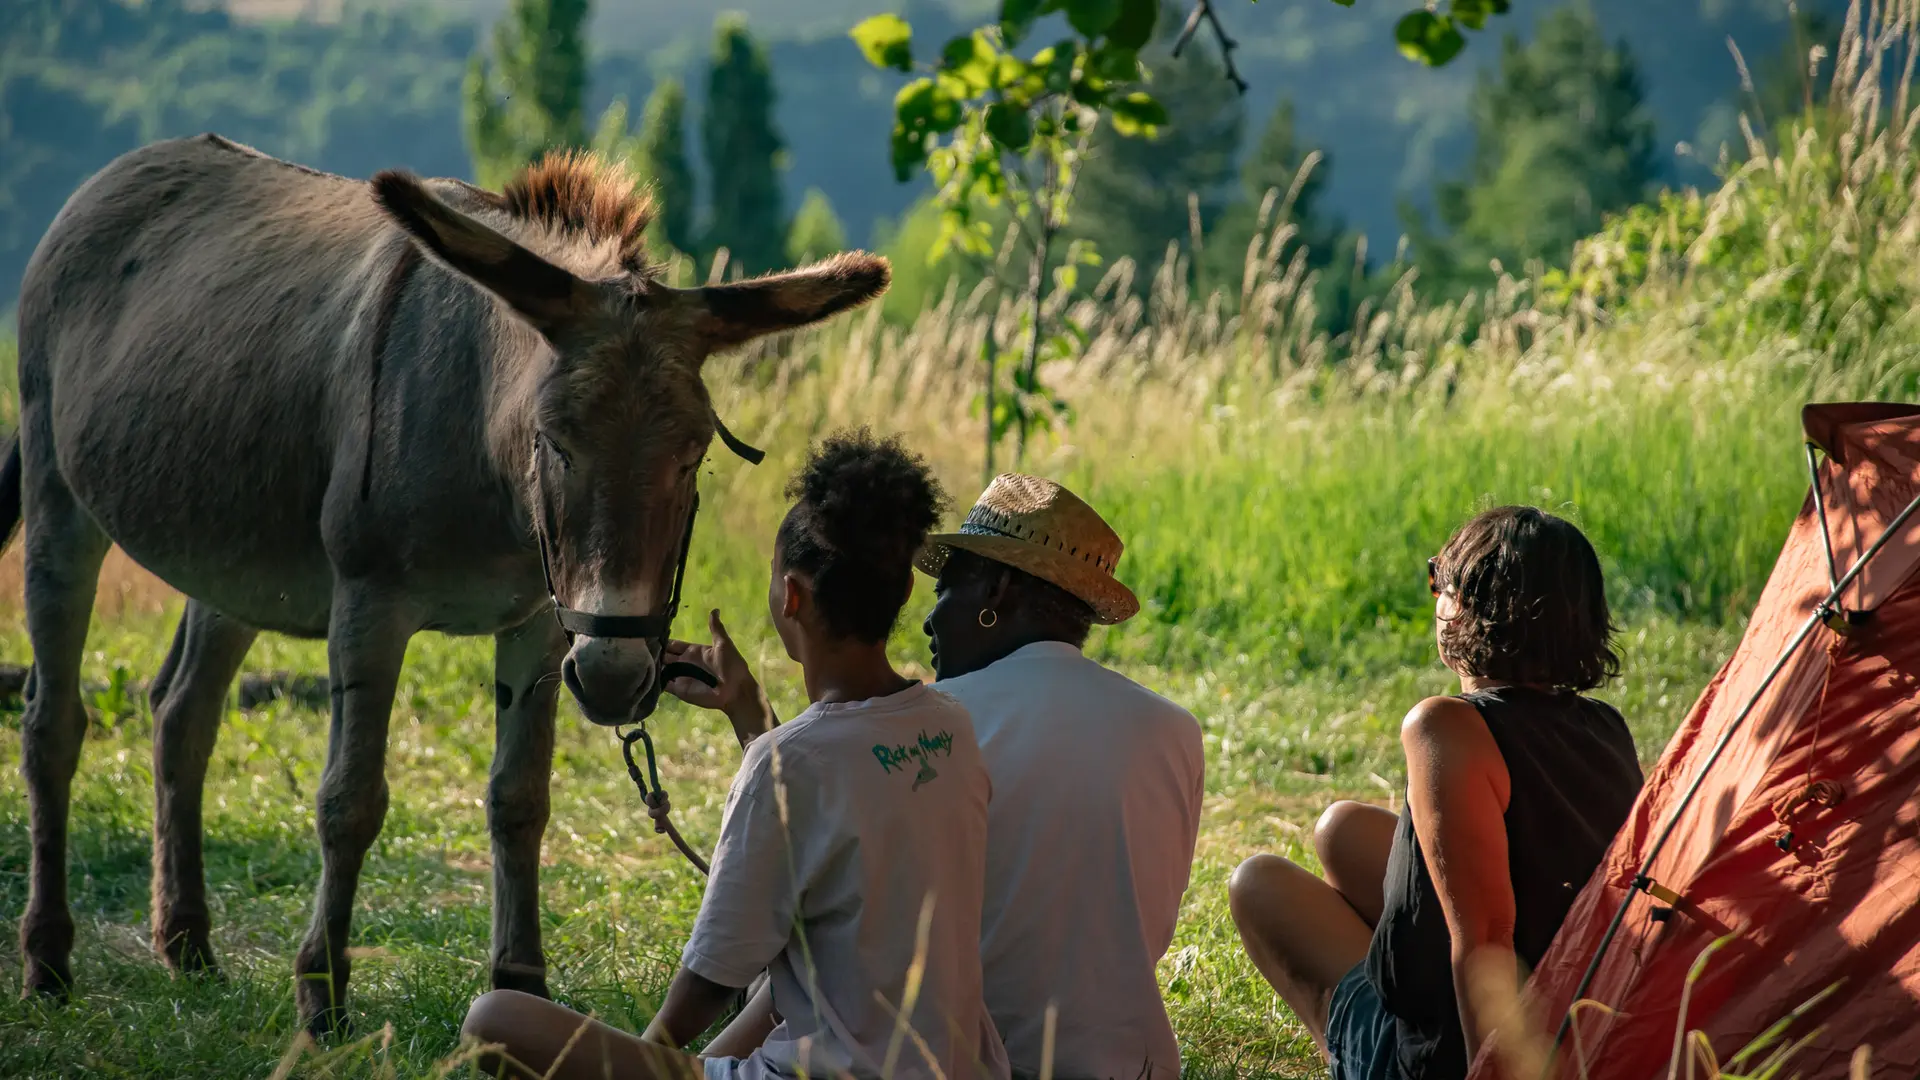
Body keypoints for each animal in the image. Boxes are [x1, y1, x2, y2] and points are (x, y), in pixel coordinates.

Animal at [8, 133, 888, 1032]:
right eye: (555, 441)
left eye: (694, 454)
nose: (615, 679)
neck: (487, 453)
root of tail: (129, 166)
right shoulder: (368, 605)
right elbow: (350, 800)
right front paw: (321, 998)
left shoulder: (540, 622)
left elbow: (520, 799)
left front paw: (520, 979)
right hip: (57, 497)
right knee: (53, 723)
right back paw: (48, 959)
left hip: (230, 559)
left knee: (182, 712)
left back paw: (186, 945)